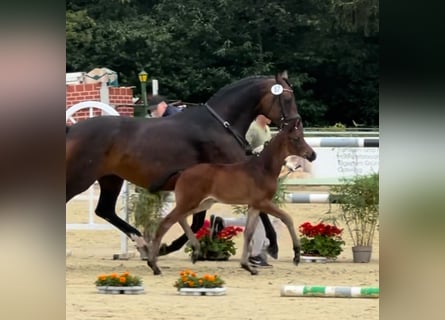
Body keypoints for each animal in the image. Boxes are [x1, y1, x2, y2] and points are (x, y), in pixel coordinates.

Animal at [146, 117, 316, 276]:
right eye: (296, 138)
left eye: (302, 136)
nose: (312, 155)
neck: (263, 169)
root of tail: (183, 172)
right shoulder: (263, 202)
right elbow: (287, 218)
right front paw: (296, 256)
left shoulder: (254, 206)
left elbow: (248, 233)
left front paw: (248, 267)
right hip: (189, 202)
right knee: (166, 223)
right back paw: (154, 265)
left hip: (202, 203)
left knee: (181, 219)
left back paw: (195, 251)